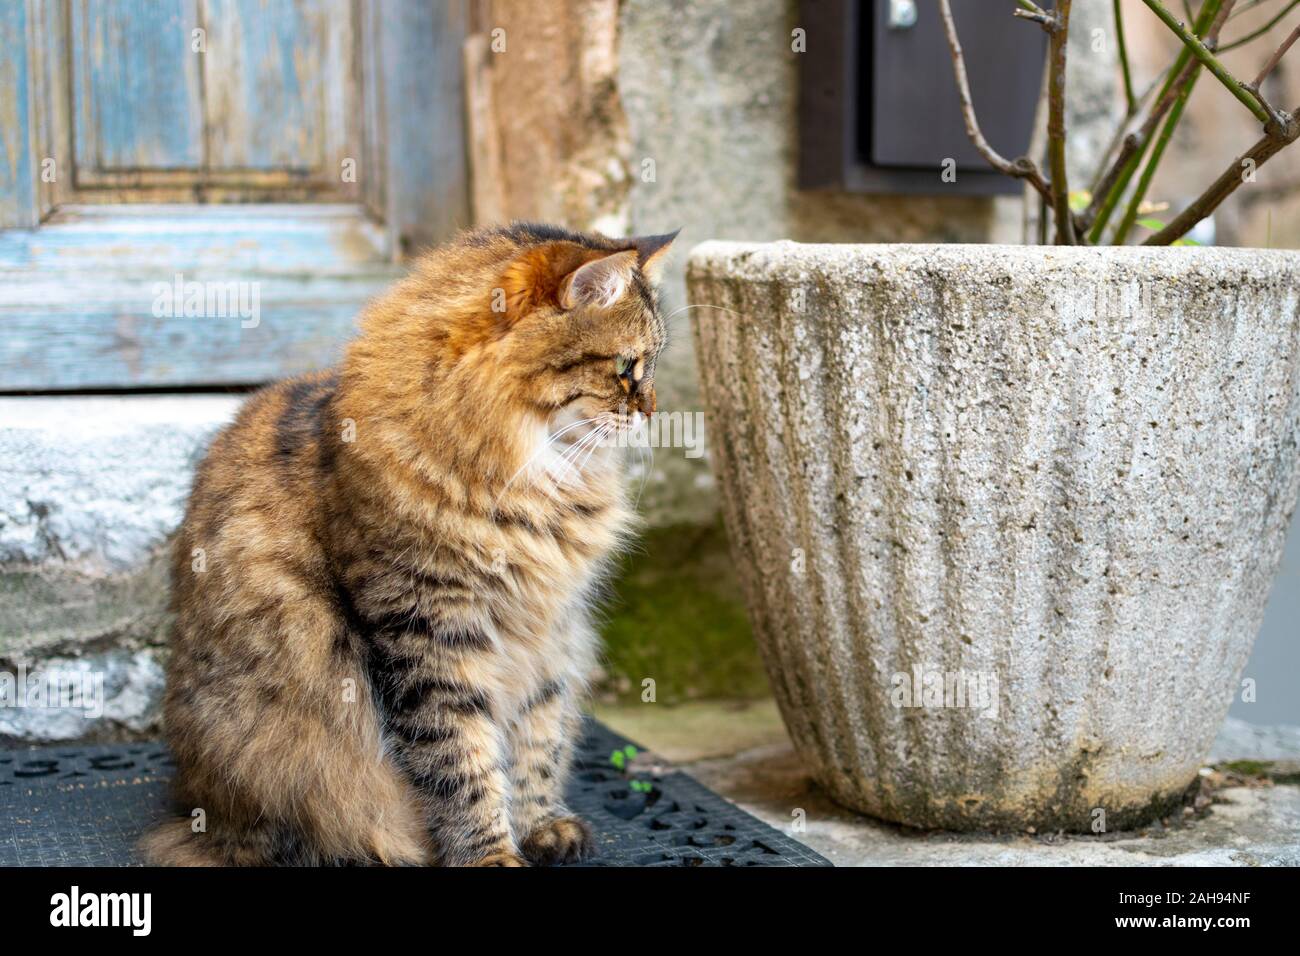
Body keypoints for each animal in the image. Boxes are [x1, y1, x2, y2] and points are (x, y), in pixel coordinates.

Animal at [143, 222, 681, 868]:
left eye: (650, 366)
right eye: (628, 366)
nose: (652, 411)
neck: (532, 483)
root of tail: (194, 808)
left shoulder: (549, 633)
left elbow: (536, 741)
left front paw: (540, 826)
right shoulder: (426, 634)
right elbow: (464, 766)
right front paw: (493, 858)